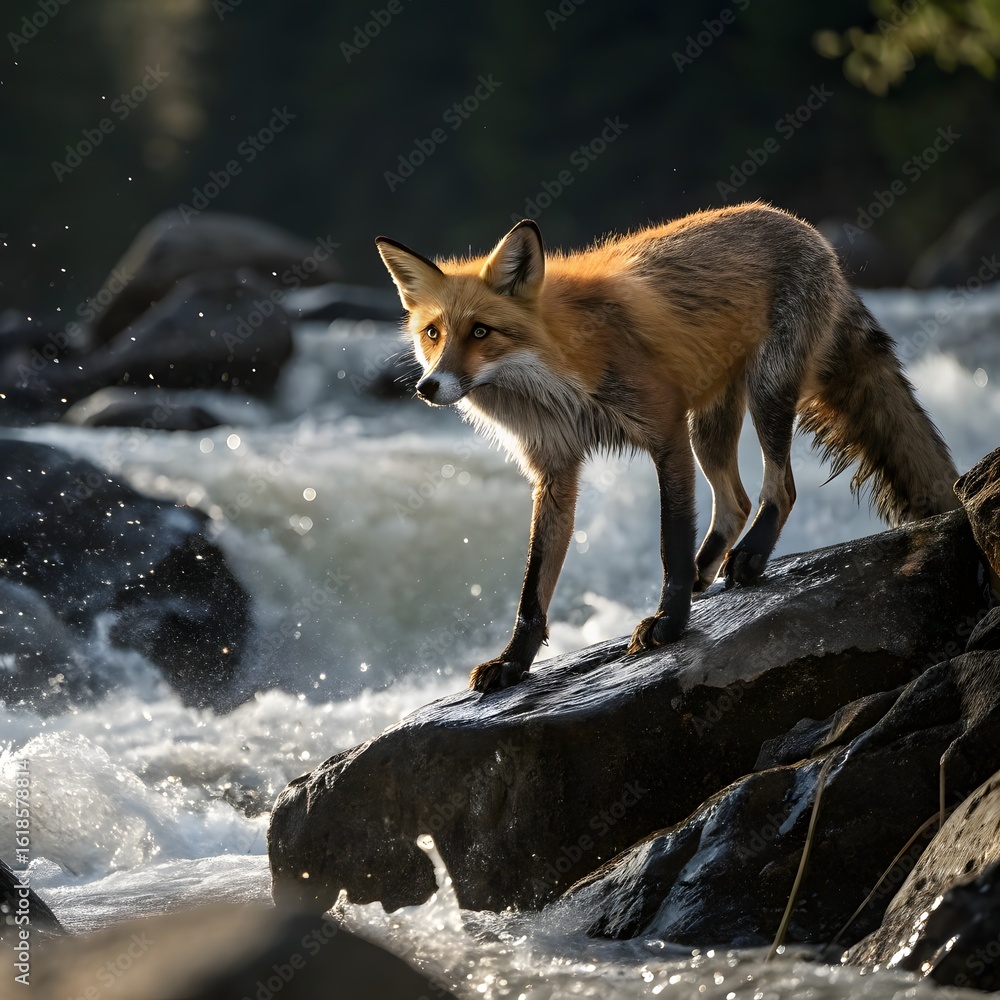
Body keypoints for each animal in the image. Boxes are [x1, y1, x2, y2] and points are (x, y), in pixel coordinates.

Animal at [376, 202, 960, 694]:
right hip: (711, 427)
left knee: (780, 488)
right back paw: (711, 569)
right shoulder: (556, 469)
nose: (427, 386)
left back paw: (749, 557)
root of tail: (800, 224)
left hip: (763, 395)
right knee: (736, 500)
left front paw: (669, 624)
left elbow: (669, 543)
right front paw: (513, 663)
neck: (556, 376)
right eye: (432, 333)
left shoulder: (665, 431)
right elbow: (533, 588)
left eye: (481, 332)